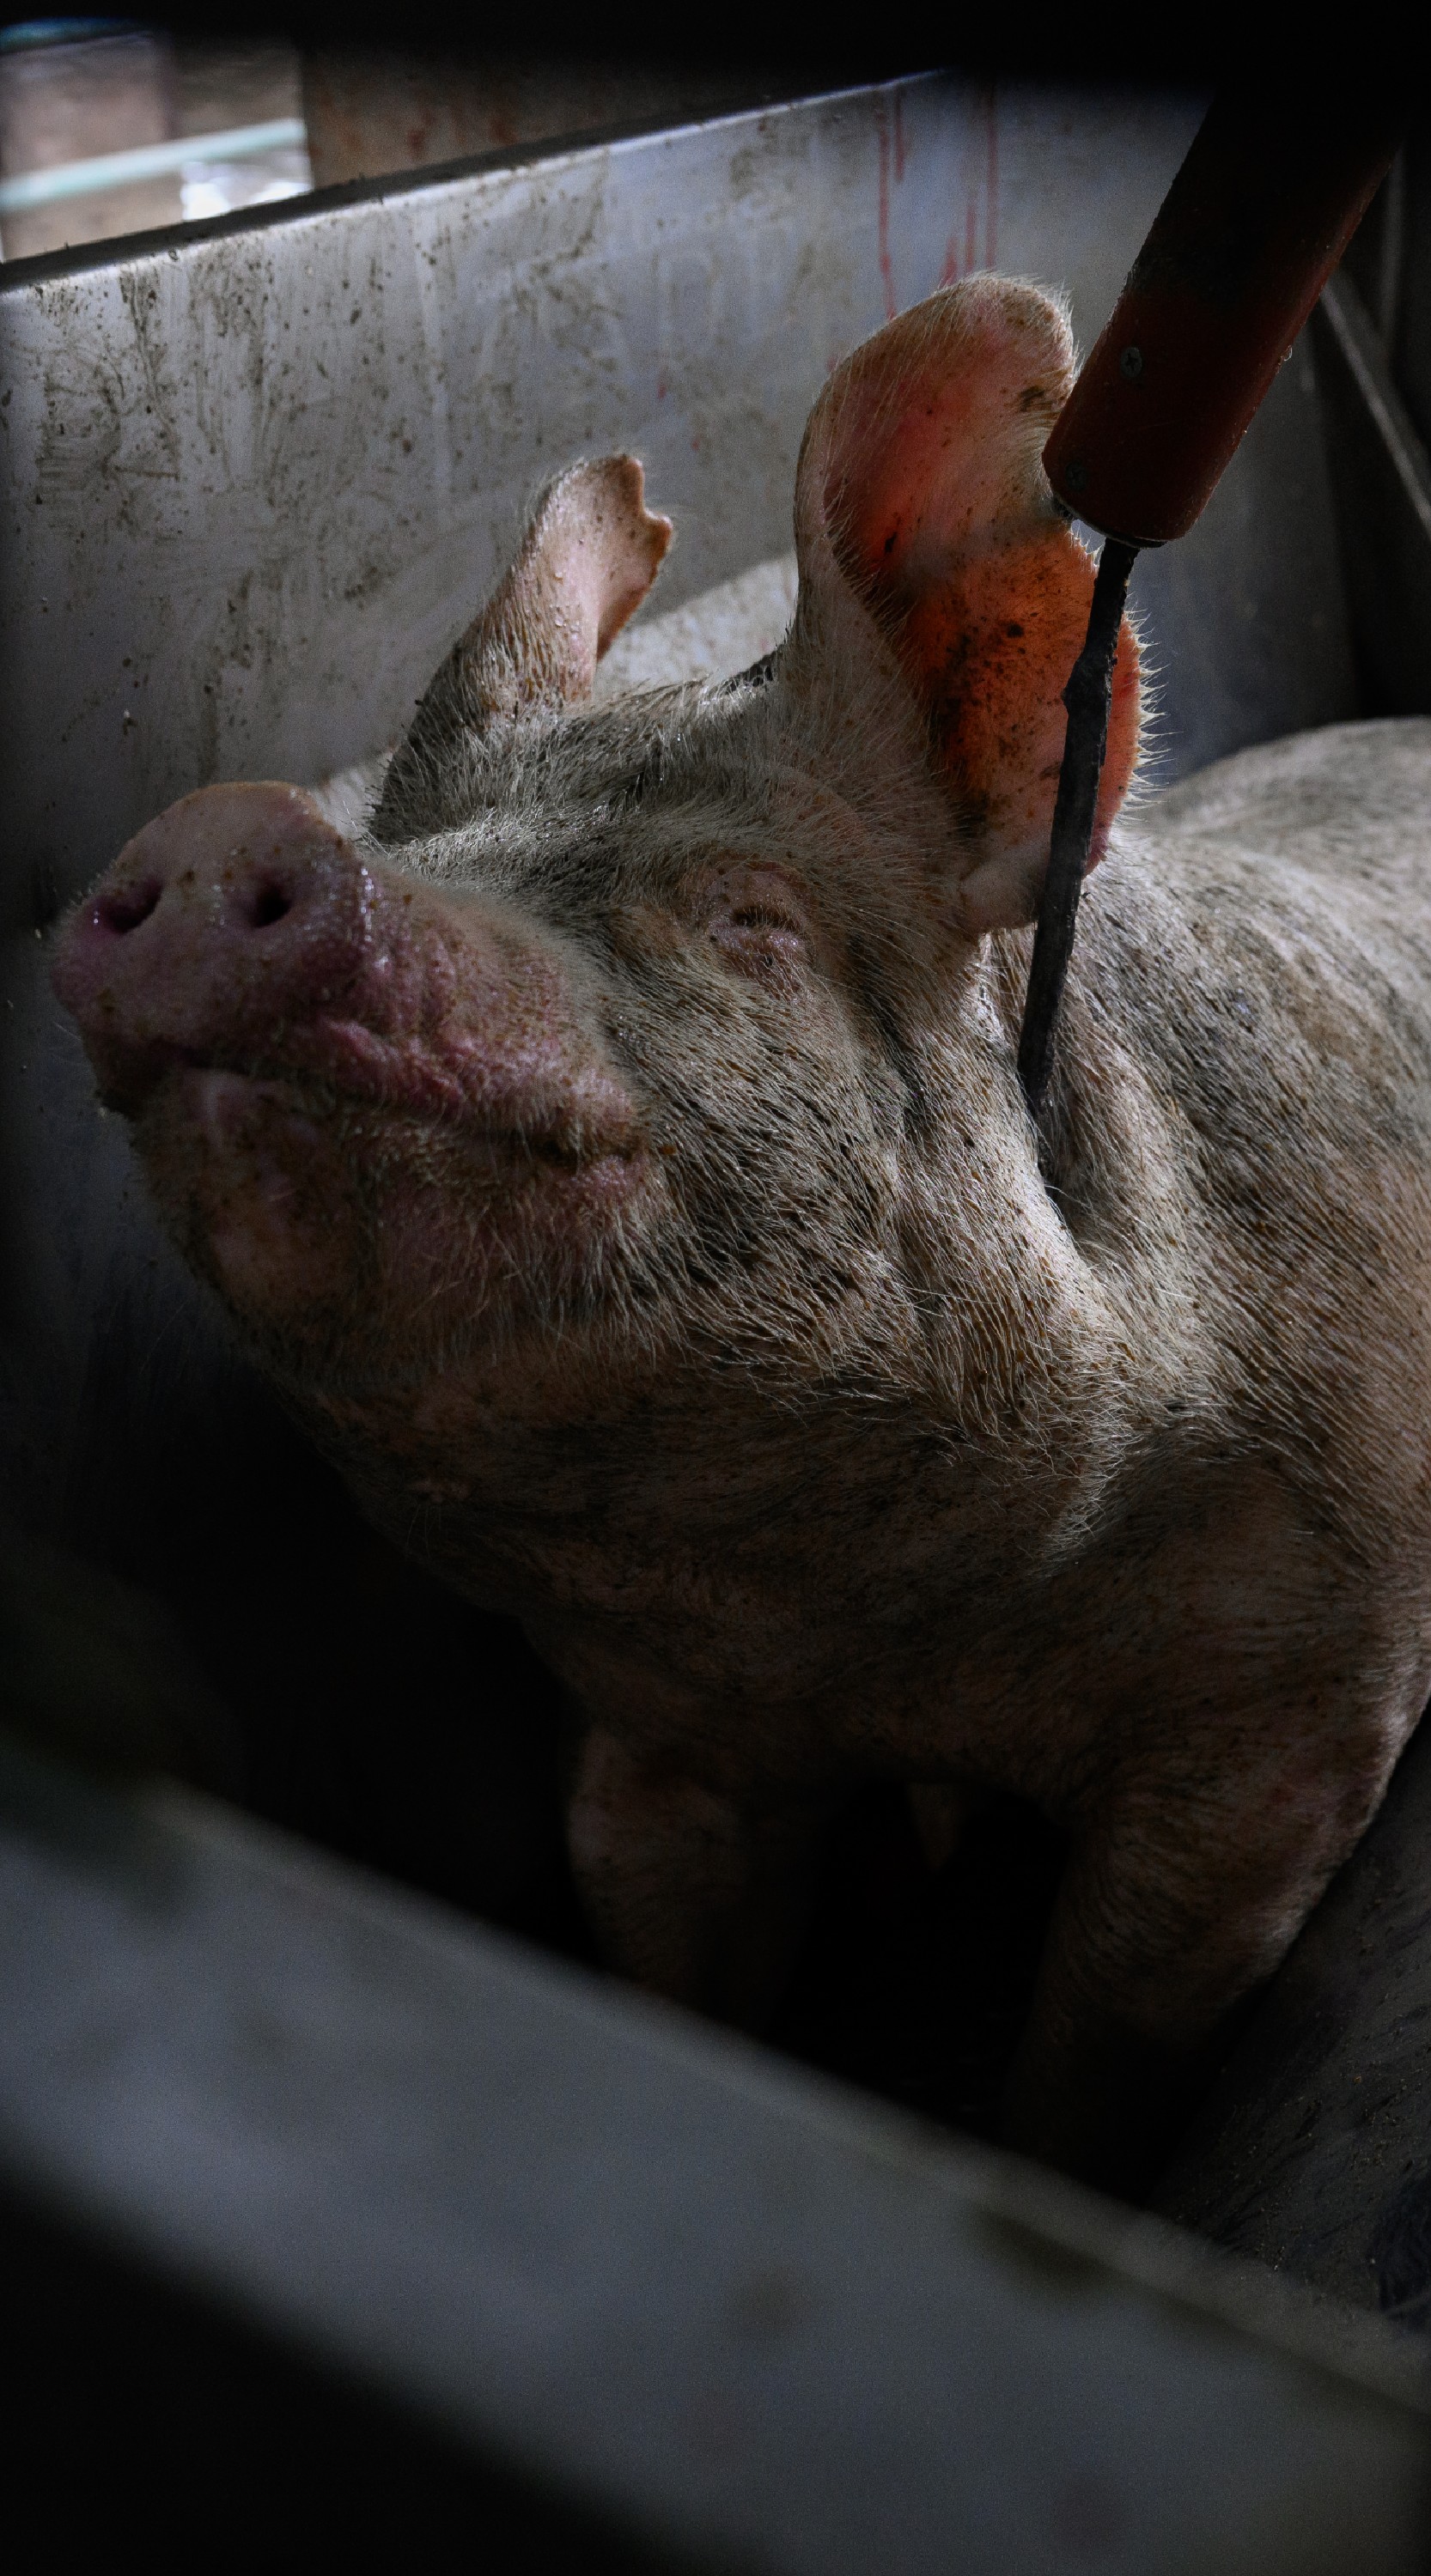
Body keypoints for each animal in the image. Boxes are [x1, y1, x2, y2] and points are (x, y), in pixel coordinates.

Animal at [52, 275, 1431, 2192]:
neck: (881, 1632)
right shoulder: (653, 1730)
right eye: (431, 841)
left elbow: (1104, 2046)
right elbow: (670, 1953)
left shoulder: (1300, 1708)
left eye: (749, 919)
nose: (211, 828)